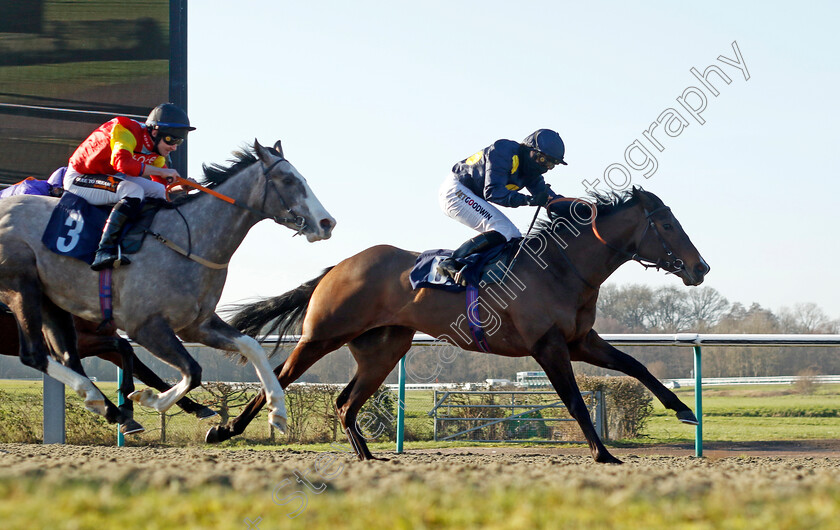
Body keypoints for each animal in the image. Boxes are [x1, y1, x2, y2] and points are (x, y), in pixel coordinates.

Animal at [0, 304, 217, 418]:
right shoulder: (79, 340)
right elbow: (124, 347)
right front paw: (126, 405)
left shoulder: (105, 337)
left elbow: (148, 374)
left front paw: (197, 407)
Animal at [208, 187, 708, 462]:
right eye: (666, 224)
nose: (700, 268)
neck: (561, 267)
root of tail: (338, 267)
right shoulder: (548, 346)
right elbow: (575, 402)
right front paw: (603, 454)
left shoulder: (580, 340)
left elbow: (635, 367)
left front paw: (684, 410)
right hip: (322, 335)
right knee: (283, 377)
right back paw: (224, 430)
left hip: (383, 350)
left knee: (345, 402)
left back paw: (367, 455)